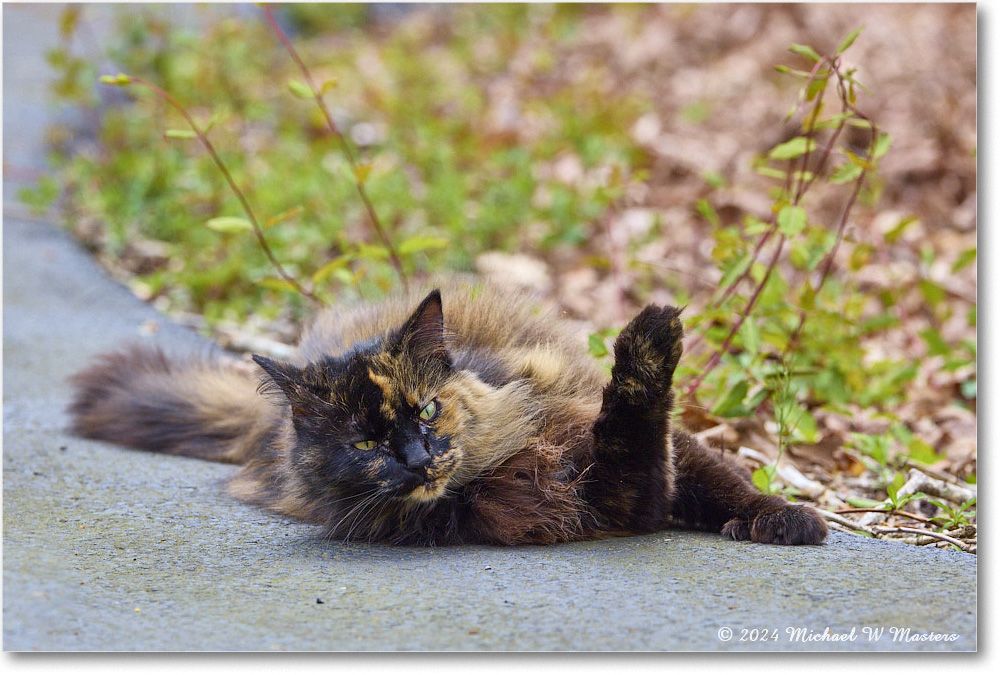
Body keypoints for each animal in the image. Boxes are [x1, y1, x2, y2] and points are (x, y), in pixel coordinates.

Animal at [66, 282, 824, 548]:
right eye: (366, 443)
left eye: (428, 409)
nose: (419, 457)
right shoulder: (617, 496)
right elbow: (633, 424)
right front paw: (645, 345)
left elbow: (722, 477)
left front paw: (788, 519)